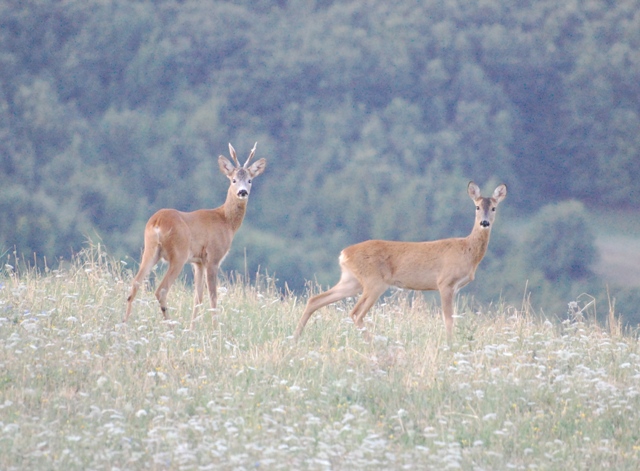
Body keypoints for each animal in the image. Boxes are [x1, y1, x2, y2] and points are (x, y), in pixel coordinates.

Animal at [126, 144, 266, 328]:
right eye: (233, 180)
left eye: (250, 180)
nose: (242, 192)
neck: (225, 221)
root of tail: (157, 222)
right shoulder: (213, 257)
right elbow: (213, 296)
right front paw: (215, 329)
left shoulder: (198, 262)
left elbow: (197, 297)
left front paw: (192, 328)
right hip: (178, 253)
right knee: (161, 290)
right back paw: (171, 326)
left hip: (151, 249)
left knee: (135, 283)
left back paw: (124, 323)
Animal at [292, 182, 508, 342]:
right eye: (477, 207)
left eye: (494, 207)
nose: (484, 223)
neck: (467, 251)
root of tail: (344, 253)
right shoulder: (445, 282)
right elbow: (448, 319)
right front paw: (450, 344)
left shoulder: (455, 288)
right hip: (374, 282)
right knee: (355, 313)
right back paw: (376, 342)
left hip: (351, 281)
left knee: (315, 300)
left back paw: (296, 337)